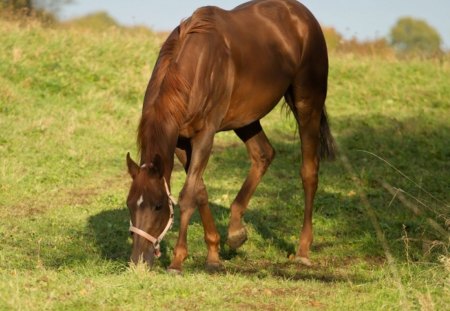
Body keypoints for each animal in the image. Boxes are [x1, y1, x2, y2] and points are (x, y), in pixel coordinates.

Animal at [125, 0, 336, 272]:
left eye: (158, 205)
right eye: (130, 203)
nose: (138, 261)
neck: (197, 65)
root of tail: (302, 15)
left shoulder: (205, 135)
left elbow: (187, 195)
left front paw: (178, 261)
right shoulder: (181, 142)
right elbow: (200, 190)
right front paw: (214, 255)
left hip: (307, 104)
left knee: (309, 172)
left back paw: (302, 250)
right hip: (246, 118)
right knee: (263, 155)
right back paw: (236, 232)